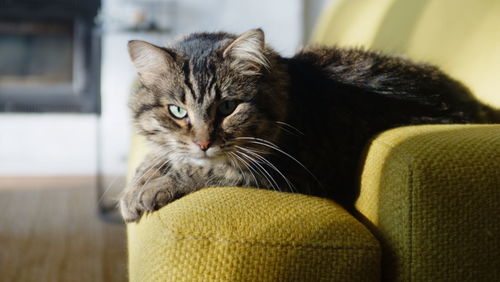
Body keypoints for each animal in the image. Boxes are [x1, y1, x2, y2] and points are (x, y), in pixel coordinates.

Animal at [119, 28, 498, 223]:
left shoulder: (293, 173)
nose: (203, 143)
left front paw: (148, 190)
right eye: (177, 111)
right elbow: (164, 156)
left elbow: (211, 170)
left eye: (228, 107)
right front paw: (139, 180)